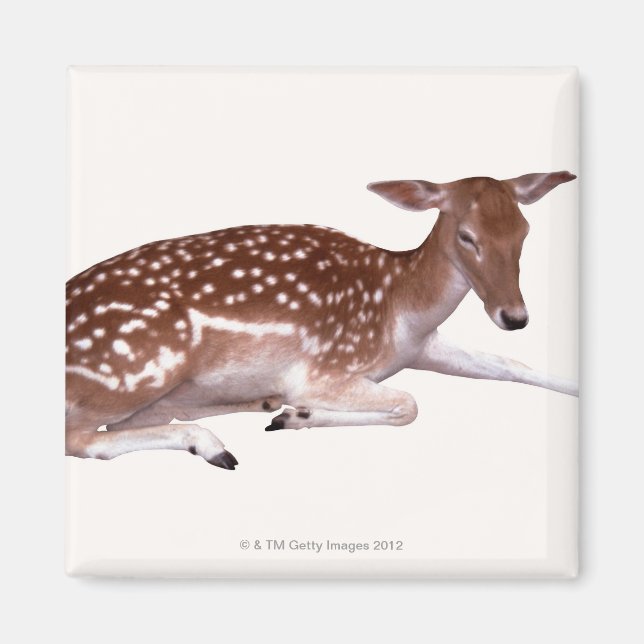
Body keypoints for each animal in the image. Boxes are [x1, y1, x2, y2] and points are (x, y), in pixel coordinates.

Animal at [65, 171, 577, 470]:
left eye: (524, 231)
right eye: (468, 236)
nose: (515, 316)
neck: (400, 308)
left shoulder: (424, 345)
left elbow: (513, 366)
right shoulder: (324, 368)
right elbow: (410, 404)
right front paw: (297, 415)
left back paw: (256, 406)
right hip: (142, 364)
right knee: (83, 437)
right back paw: (216, 445)